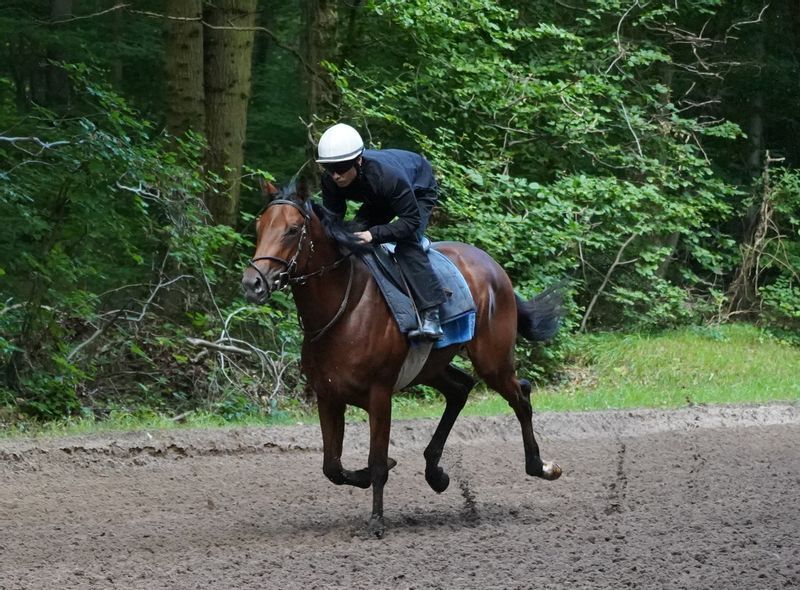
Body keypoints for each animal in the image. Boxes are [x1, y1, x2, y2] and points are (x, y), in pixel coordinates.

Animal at [241, 179, 560, 536]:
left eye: (293, 229)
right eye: (259, 226)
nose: (253, 283)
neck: (345, 309)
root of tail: (493, 266)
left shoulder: (379, 394)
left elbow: (378, 461)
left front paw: (377, 519)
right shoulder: (328, 396)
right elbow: (332, 467)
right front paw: (369, 478)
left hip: (493, 360)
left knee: (521, 394)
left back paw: (540, 465)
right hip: (431, 366)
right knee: (461, 389)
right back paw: (436, 473)